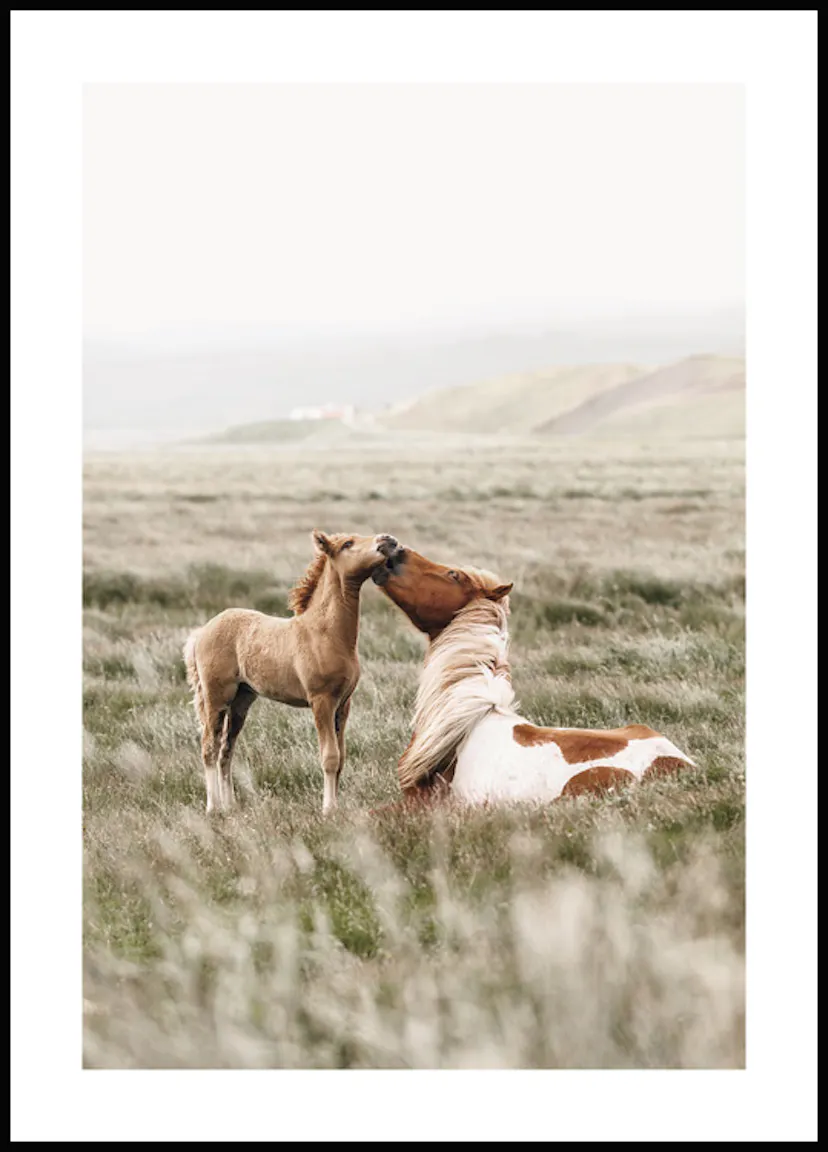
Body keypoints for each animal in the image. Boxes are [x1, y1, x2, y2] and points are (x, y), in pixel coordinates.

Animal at [184, 531, 401, 814]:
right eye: (347, 544)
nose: (389, 540)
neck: (326, 633)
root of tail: (202, 632)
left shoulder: (344, 704)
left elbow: (341, 758)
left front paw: (337, 806)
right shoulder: (321, 701)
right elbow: (330, 757)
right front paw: (328, 810)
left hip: (242, 700)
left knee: (226, 750)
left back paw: (231, 806)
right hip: (216, 697)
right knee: (209, 746)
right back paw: (214, 807)